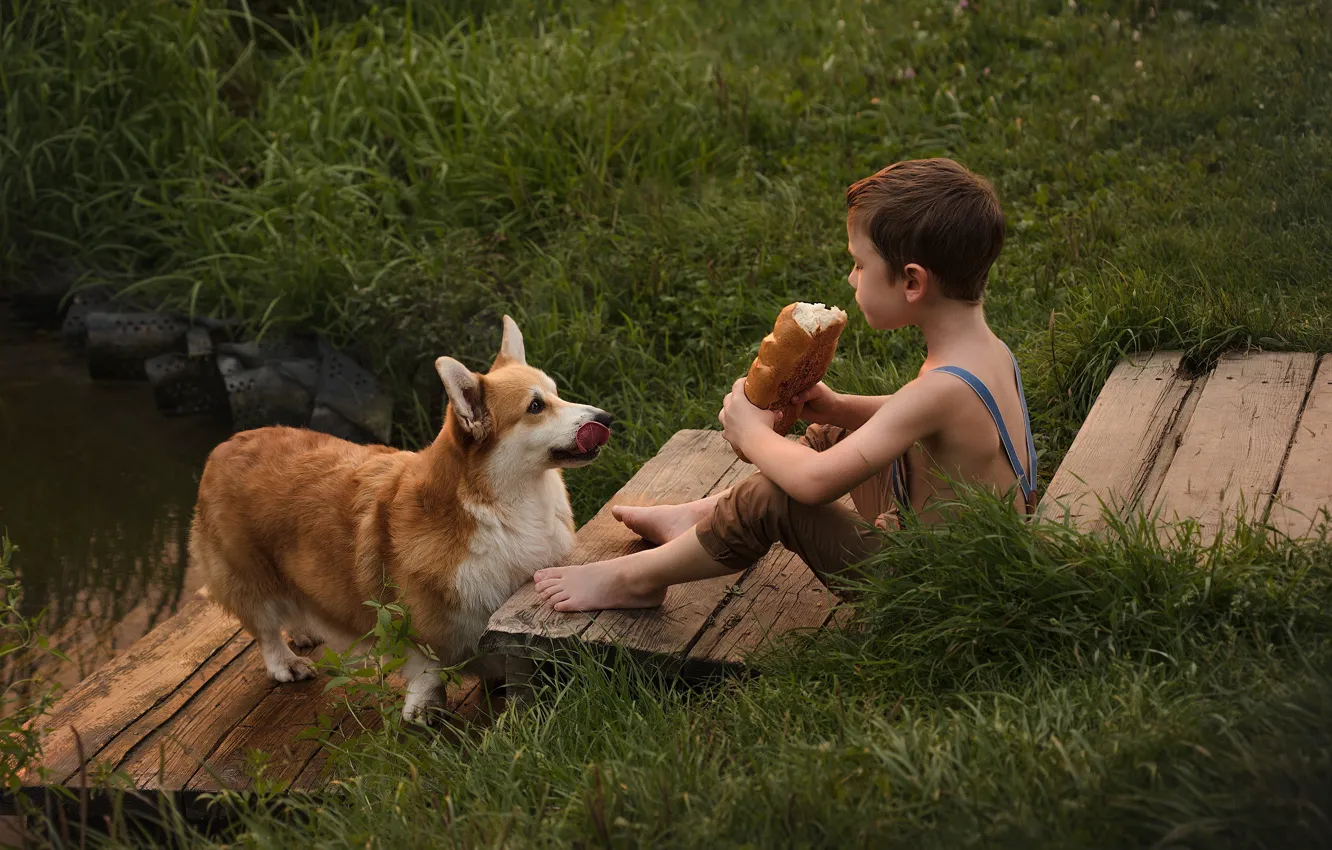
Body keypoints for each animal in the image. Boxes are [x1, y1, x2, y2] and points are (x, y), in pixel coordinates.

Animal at [189, 317, 612, 724]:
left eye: (556, 392)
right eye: (535, 407)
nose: (606, 417)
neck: (501, 506)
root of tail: (225, 444)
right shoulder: (416, 616)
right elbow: (427, 668)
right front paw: (425, 708)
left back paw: (304, 630)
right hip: (248, 573)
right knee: (263, 627)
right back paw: (286, 663)